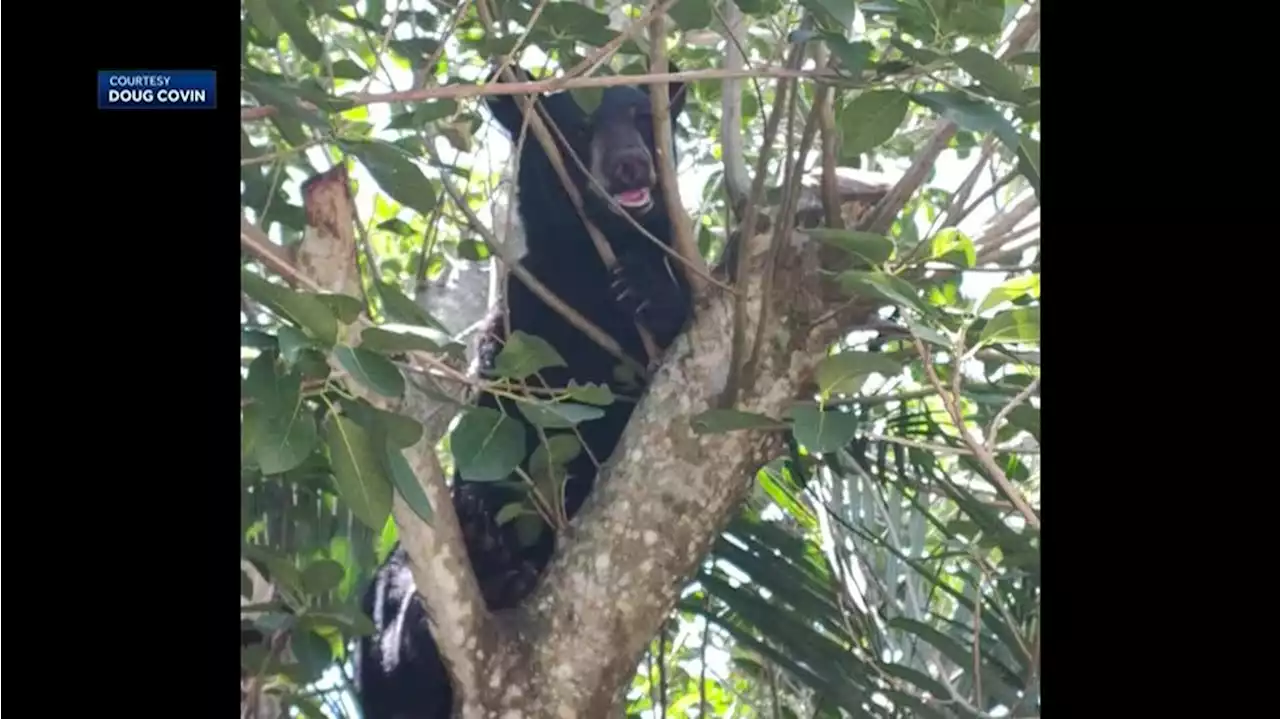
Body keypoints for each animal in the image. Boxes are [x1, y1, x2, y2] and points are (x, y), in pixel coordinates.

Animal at [350, 63, 696, 716]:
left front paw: (650, 288)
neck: (589, 265)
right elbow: (501, 407)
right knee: (392, 599)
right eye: (578, 126)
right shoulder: (525, 310)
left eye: (643, 118)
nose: (631, 166)